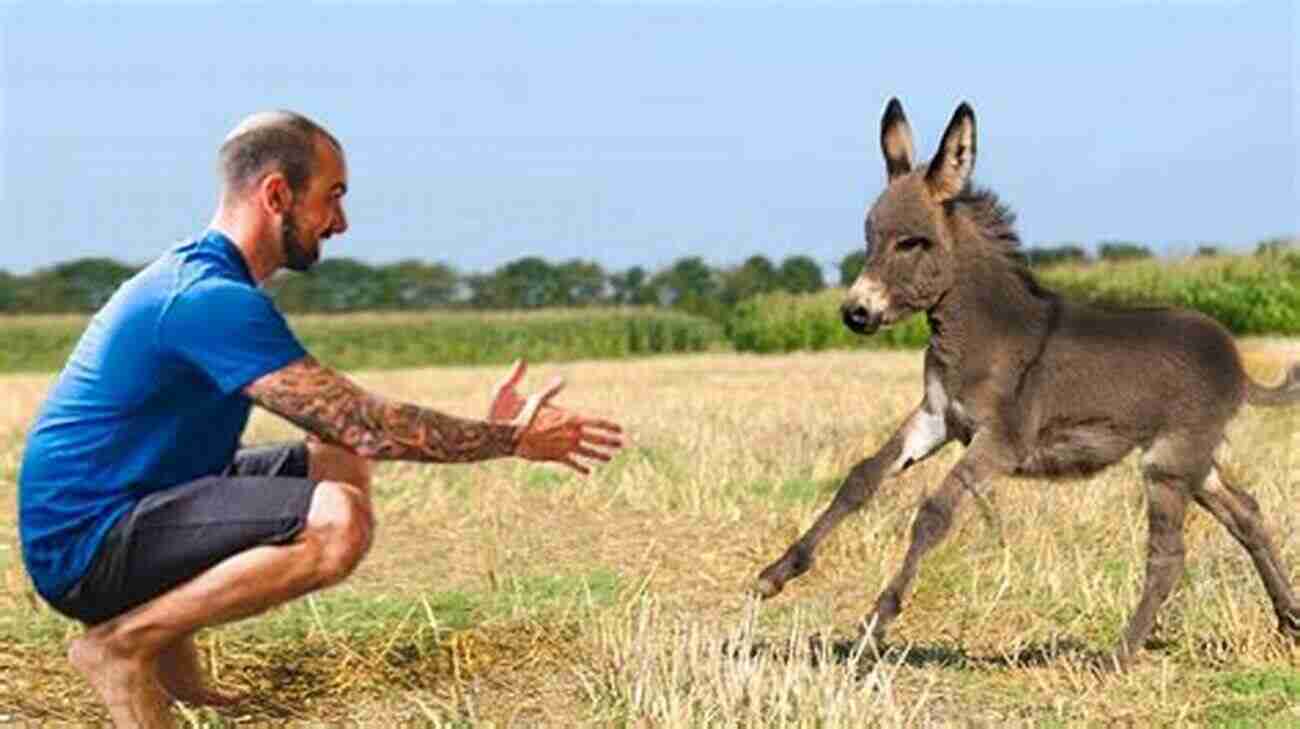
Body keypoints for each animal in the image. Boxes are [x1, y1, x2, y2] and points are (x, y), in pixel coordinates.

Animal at [759, 99, 1300, 670]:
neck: (980, 331)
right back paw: (1290, 619)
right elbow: (860, 478)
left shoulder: (1001, 442)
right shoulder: (935, 418)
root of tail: (1237, 364)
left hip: (1170, 462)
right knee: (1246, 512)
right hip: (1193, 460)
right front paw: (777, 574)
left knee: (1169, 555)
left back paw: (1118, 656)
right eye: (869, 239)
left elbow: (933, 515)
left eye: (912, 242)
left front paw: (873, 625)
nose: (854, 313)